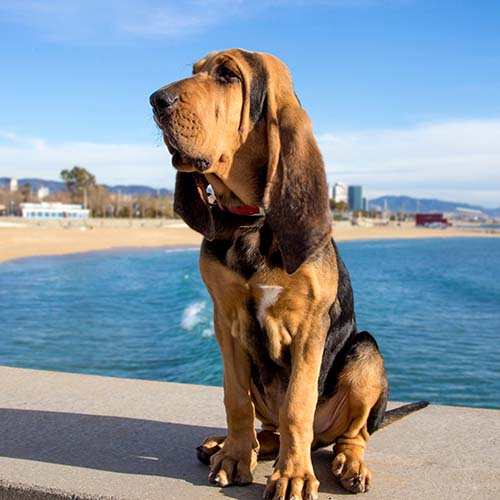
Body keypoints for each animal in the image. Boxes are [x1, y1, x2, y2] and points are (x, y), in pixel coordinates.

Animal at [150, 48, 428, 498]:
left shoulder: (310, 326)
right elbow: (235, 399)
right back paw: (228, 445)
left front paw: (294, 475)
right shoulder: (225, 321)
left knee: (349, 434)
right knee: (269, 427)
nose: (157, 100)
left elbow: (298, 404)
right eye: (194, 71)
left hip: (365, 353)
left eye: (228, 75)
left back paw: (349, 464)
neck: (252, 219)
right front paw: (234, 457)